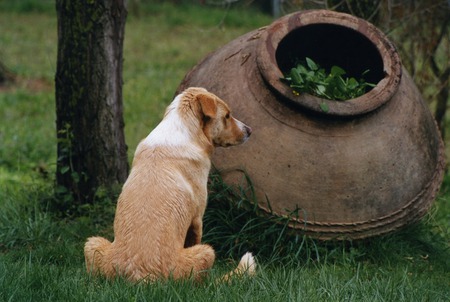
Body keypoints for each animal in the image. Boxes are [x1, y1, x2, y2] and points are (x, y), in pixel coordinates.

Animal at [83, 86, 255, 282]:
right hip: (207, 251)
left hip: (92, 243)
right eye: (227, 115)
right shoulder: (197, 219)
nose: (250, 130)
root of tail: (141, 276)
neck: (185, 129)